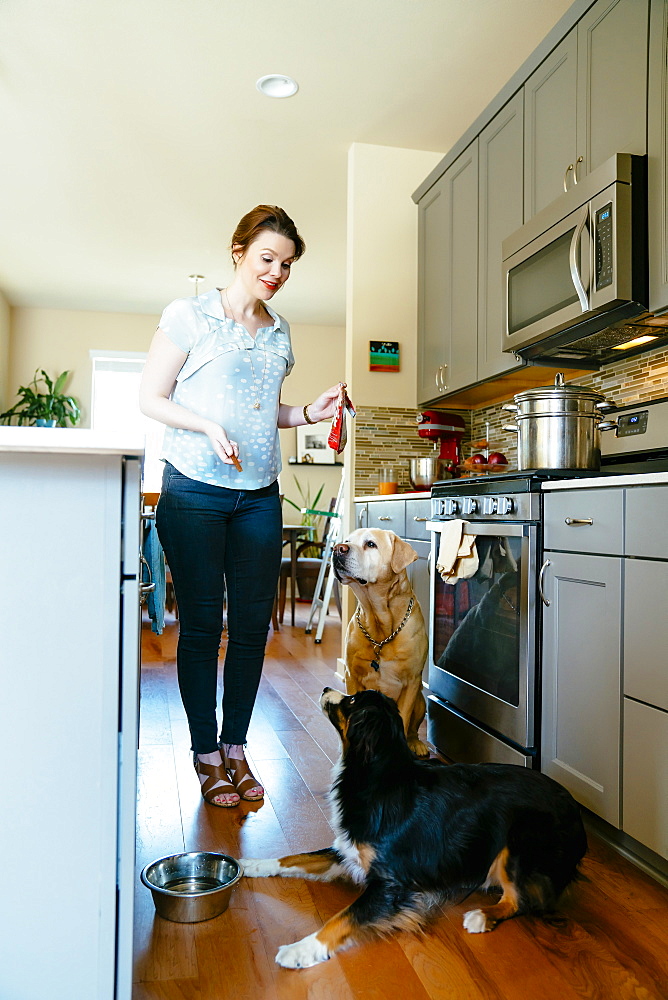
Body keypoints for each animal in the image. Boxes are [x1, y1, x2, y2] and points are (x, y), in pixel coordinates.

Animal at [240, 692, 584, 964]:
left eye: (351, 701)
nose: (326, 688)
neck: (375, 772)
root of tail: (575, 809)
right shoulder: (349, 850)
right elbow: (295, 858)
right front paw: (251, 864)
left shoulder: (392, 884)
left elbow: (342, 918)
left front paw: (300, 950)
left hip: (519, 840)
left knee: (521, 900)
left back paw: (481, 916)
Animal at [332, 528, 428, 752]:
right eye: (347, 541)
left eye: (371, 544)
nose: (338, 548)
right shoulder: (351, 676)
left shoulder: (412, 682)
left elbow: (404, 719)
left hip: (421, 701)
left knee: (413, 728)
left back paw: (416, 743)